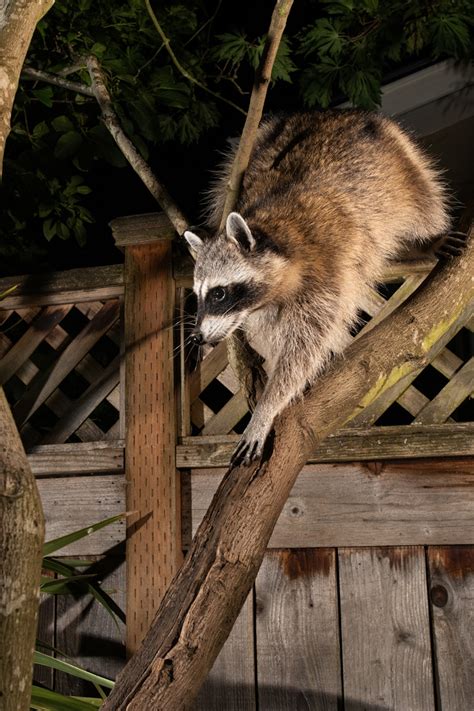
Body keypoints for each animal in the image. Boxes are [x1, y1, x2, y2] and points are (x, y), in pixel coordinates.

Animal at [184, 110, 451, 465]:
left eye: (219, 293)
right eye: (198, 296)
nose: (196, 337)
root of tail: (332, 113)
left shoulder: (325, 272)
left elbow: (302, 350)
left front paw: (268, 406)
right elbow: (275, 336)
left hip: (404, 166)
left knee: (425, 204)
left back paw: (424, 241)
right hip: (258, 142)